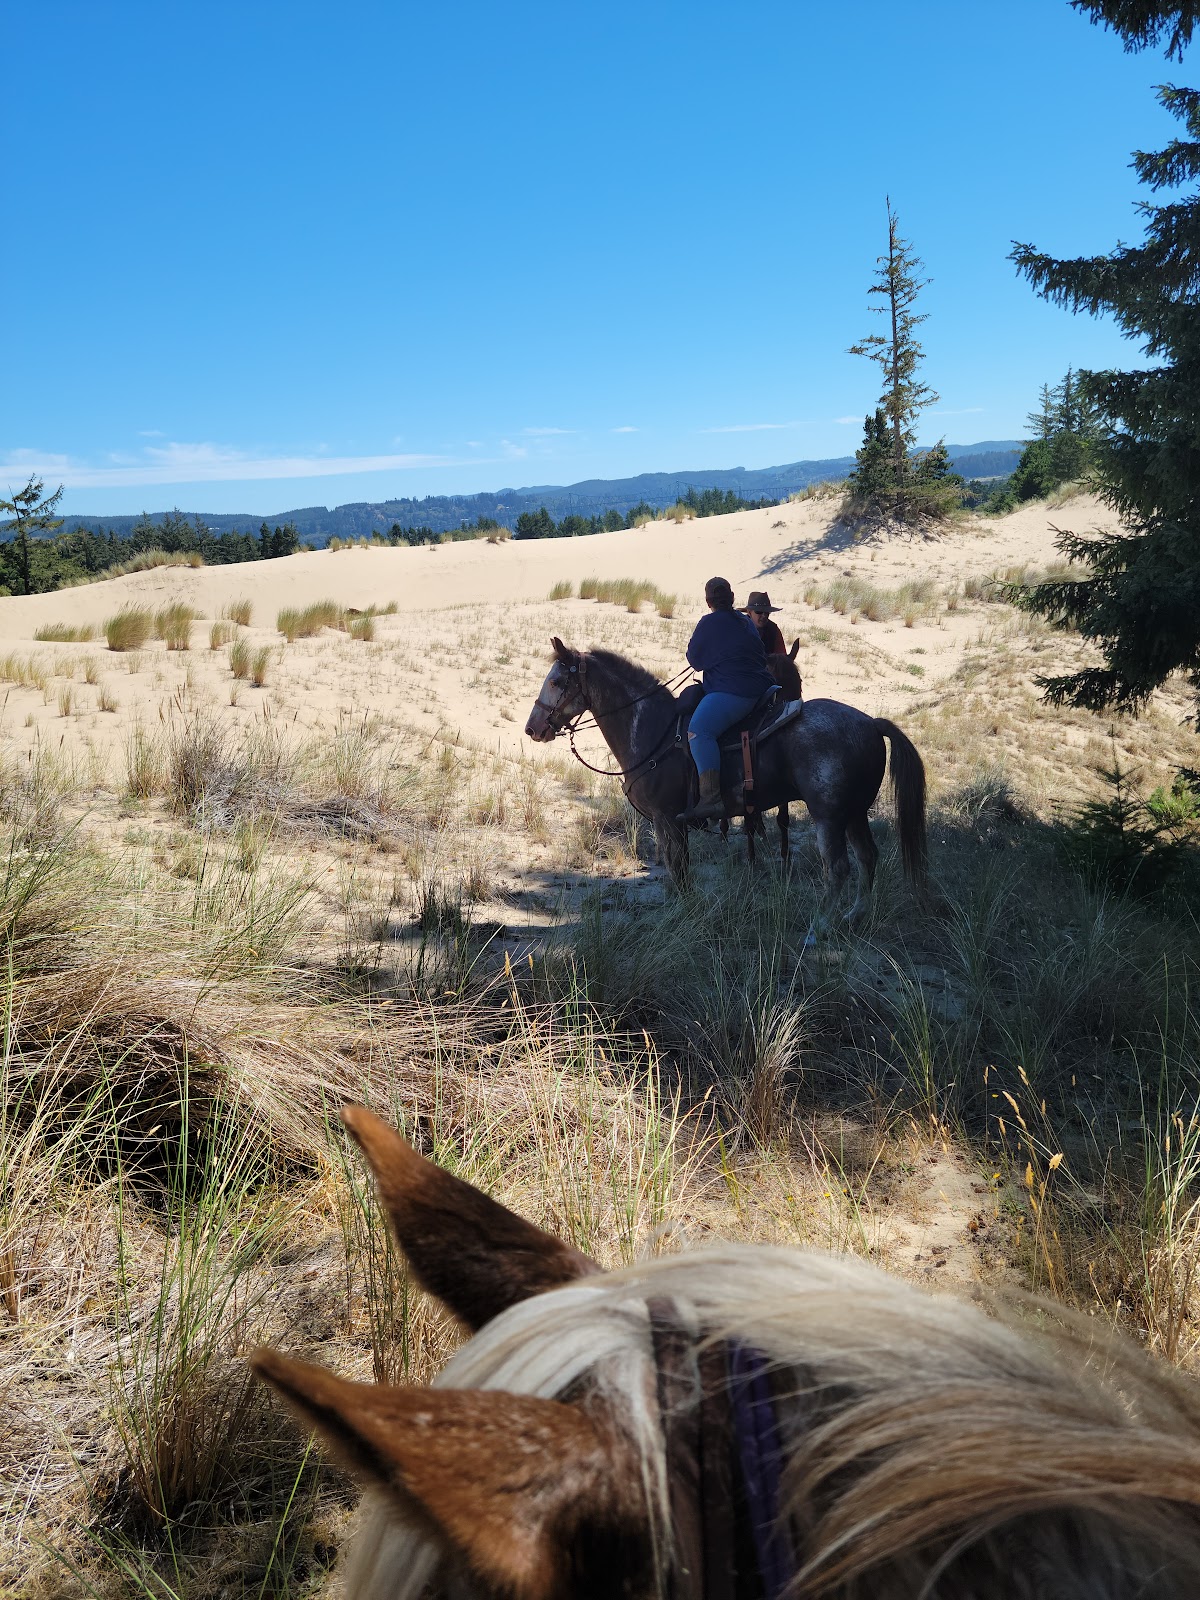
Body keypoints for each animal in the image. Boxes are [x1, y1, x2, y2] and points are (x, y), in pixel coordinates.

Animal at [525, 639, 926, 922]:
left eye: (556, 681)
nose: (532, 728)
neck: (653, 728)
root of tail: (870, 723)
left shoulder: (667, 820)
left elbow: (676, 869)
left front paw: (679, 912)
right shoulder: (674, 824)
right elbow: (681, 869)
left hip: (829, 816)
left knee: (838, 868)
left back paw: (822, 926)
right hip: (855, 813)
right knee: (867, 858)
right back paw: (855, 916)